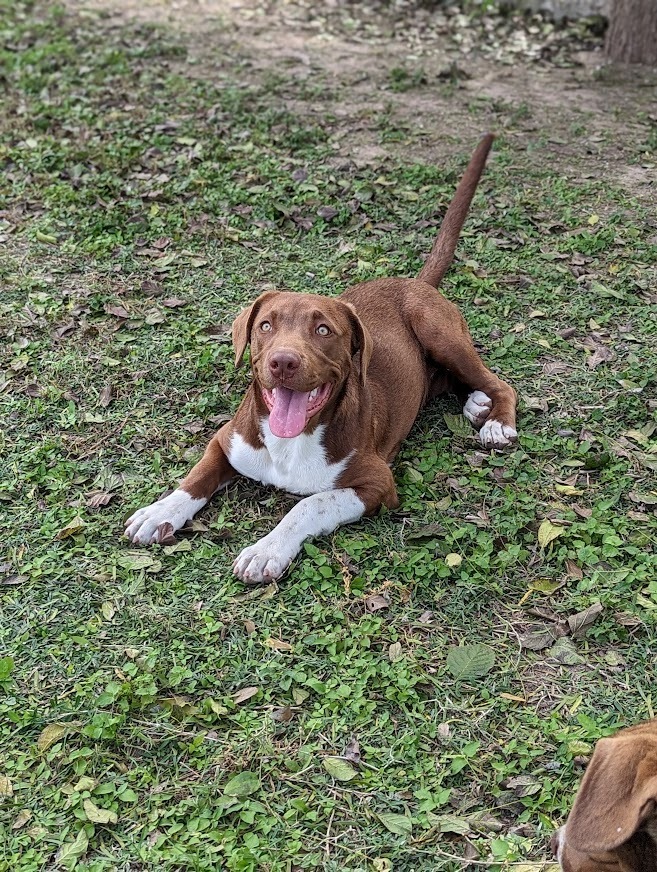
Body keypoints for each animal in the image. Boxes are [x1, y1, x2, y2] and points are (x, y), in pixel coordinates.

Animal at [125, 133, 516, 584]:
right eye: (266, 326)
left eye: (324, 330)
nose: (283, 362)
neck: (288, 443)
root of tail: (415, 281)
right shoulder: (226, 441)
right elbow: (195, 476)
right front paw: (159, 511)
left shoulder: (377, 484)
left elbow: (308, 503)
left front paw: (267, 549)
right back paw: (477, 404)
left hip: (437, 331)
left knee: (498, 381)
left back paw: (497, 421)